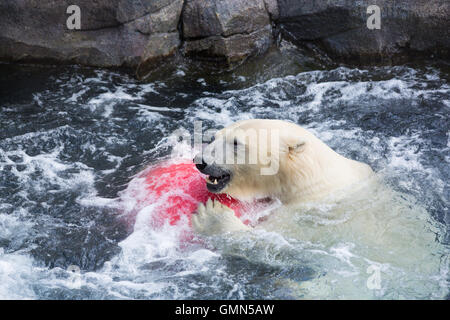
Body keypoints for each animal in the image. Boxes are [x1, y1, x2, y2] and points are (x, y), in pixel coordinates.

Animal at [190, 119, 446, 298]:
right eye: (214, 137)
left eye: (236, 143)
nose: (200, 161)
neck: (312, 178)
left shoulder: (311, 216)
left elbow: (273, 245)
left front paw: (213, 216)